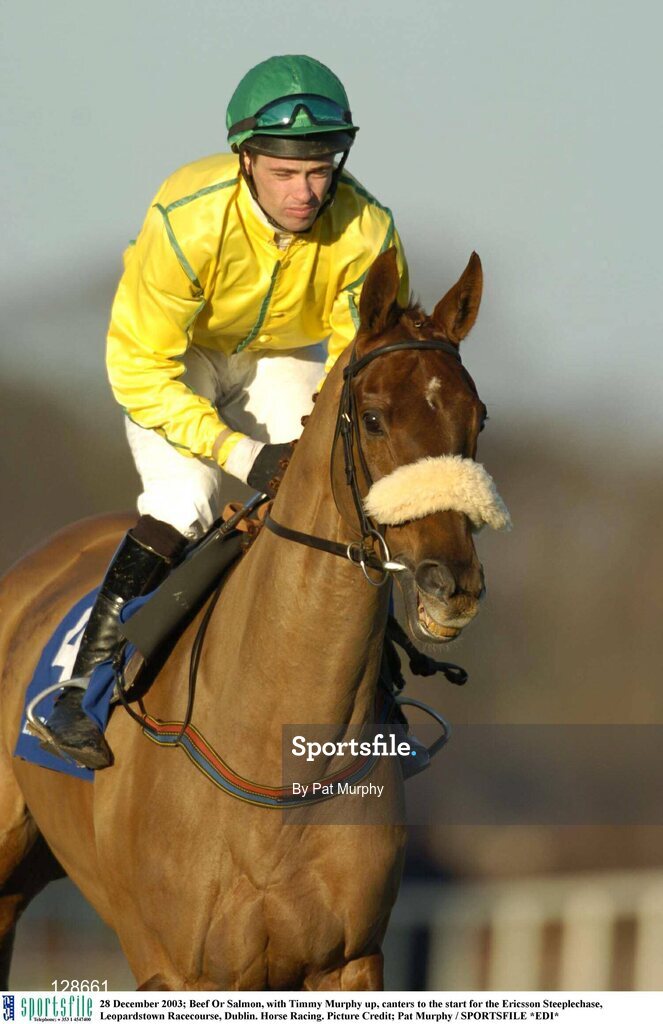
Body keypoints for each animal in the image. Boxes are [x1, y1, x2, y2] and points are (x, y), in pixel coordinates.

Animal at [0, 247, 506, 990]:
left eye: (477, 418)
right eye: (374, 418)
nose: (453, 584)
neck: (276, 749)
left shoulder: (350, 960)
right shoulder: (179, 969)